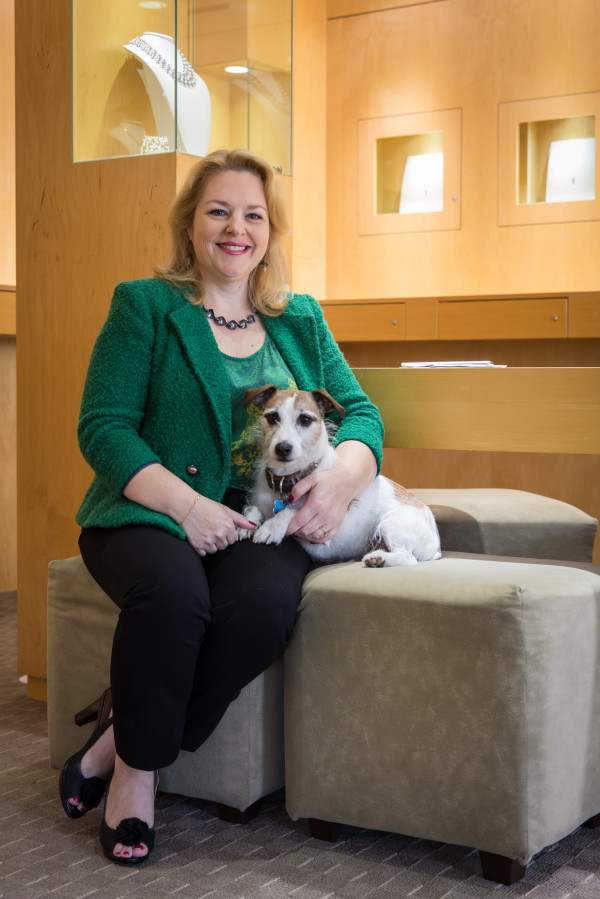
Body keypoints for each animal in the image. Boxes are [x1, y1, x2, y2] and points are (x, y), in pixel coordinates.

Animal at [238, 384, 440, 568]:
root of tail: (436, 547)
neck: (286, 479)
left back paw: (379, 559)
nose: (283, 448)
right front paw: (245, 524)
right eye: (272, 417)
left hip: (392, 524)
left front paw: (272, 527)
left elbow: (291, 511)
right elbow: (253, 508)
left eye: (305, 419)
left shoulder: (321, 528)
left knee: (408, 558)